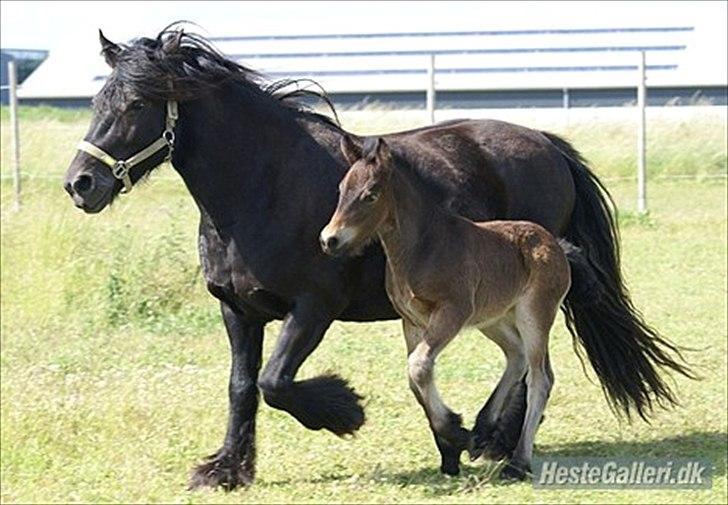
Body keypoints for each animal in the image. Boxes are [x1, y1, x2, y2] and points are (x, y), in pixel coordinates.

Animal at [321, 136, 573, 478]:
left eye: (370, 195)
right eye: (341, 189)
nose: (329, 240)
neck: (422, 247)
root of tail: (555, 245)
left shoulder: (452, 312)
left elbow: (418, 366)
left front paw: (457, 434)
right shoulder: (412, 322)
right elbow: (415, 376)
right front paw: (458, 440)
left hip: (533, 314)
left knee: (540, 378)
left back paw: (517, 462)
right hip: (493, 318)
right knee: (517, 355)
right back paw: (483, 430)